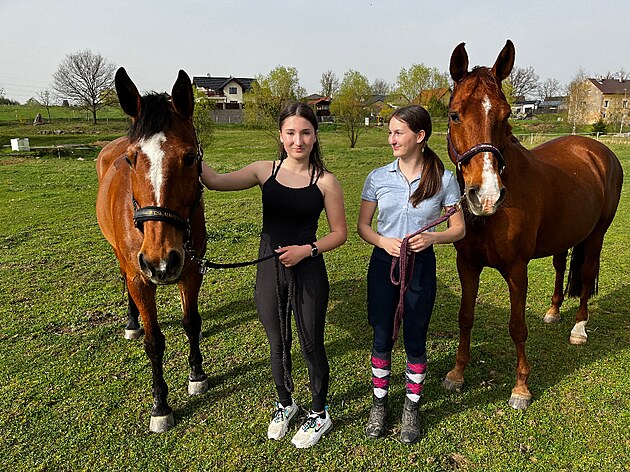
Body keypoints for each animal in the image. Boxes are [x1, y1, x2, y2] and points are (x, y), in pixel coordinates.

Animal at [96, 67, 208, 432]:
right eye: (131, 160)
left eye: (190, 158)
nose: (160, 261)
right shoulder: (141, 278)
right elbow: (154, 341)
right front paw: (161, 405)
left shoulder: (191, 269)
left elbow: (191, 322)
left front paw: (197, 375)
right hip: (125, 261)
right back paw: (132, 322)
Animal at [442, 40, 623, 410]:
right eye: (455, 114)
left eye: (506, 114)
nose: (486, 195)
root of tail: (598, 151)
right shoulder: (466, 264)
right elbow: (465, 317)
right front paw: (457, 374)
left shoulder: (517, 268)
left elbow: (517, 327)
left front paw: (521, 388)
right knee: (560, 265)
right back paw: (553, 311)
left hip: (597, 234)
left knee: (586, 275)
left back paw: (578, 329)